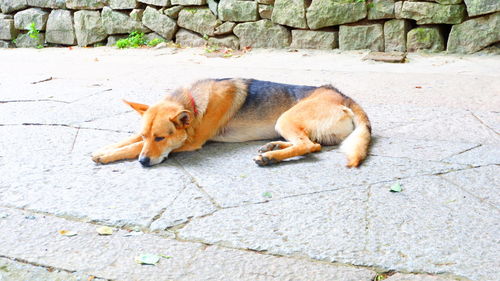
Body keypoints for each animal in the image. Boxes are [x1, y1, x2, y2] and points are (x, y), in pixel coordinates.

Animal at [91, 77, 372, 166]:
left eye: (161, 138)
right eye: (148, 134)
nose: (143, 164)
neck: (192, 103)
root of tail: (343, 96)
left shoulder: (191, 142)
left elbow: (133, 148)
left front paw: (109, 156)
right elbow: (131, 141)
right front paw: (105, 149)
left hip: (285, 119)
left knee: (310, 146)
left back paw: (270, 157)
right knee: (309, 143)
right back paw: (271, 148)